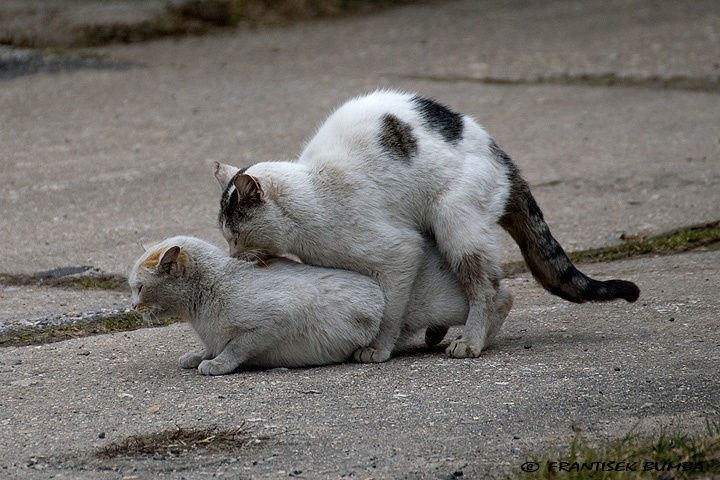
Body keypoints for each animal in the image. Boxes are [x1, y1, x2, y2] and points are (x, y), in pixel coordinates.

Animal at [129, 236, 512, 376]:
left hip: (442, 303)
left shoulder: (276, 318)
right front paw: (199, 356)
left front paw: (215, 364)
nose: (131, 307)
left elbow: (235, 347)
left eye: (139, 288)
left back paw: (472, 340)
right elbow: (210, 346)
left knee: (498, 296)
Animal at [215, 88, 640, 362]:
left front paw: (378, 349)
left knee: (492, 291)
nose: (231, 255)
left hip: (455, 224)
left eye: (235, 234)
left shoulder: (401, 252)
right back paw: (445, 333)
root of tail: (500, 154)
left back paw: (471, 341)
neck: (314, 192)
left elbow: (390, 310)